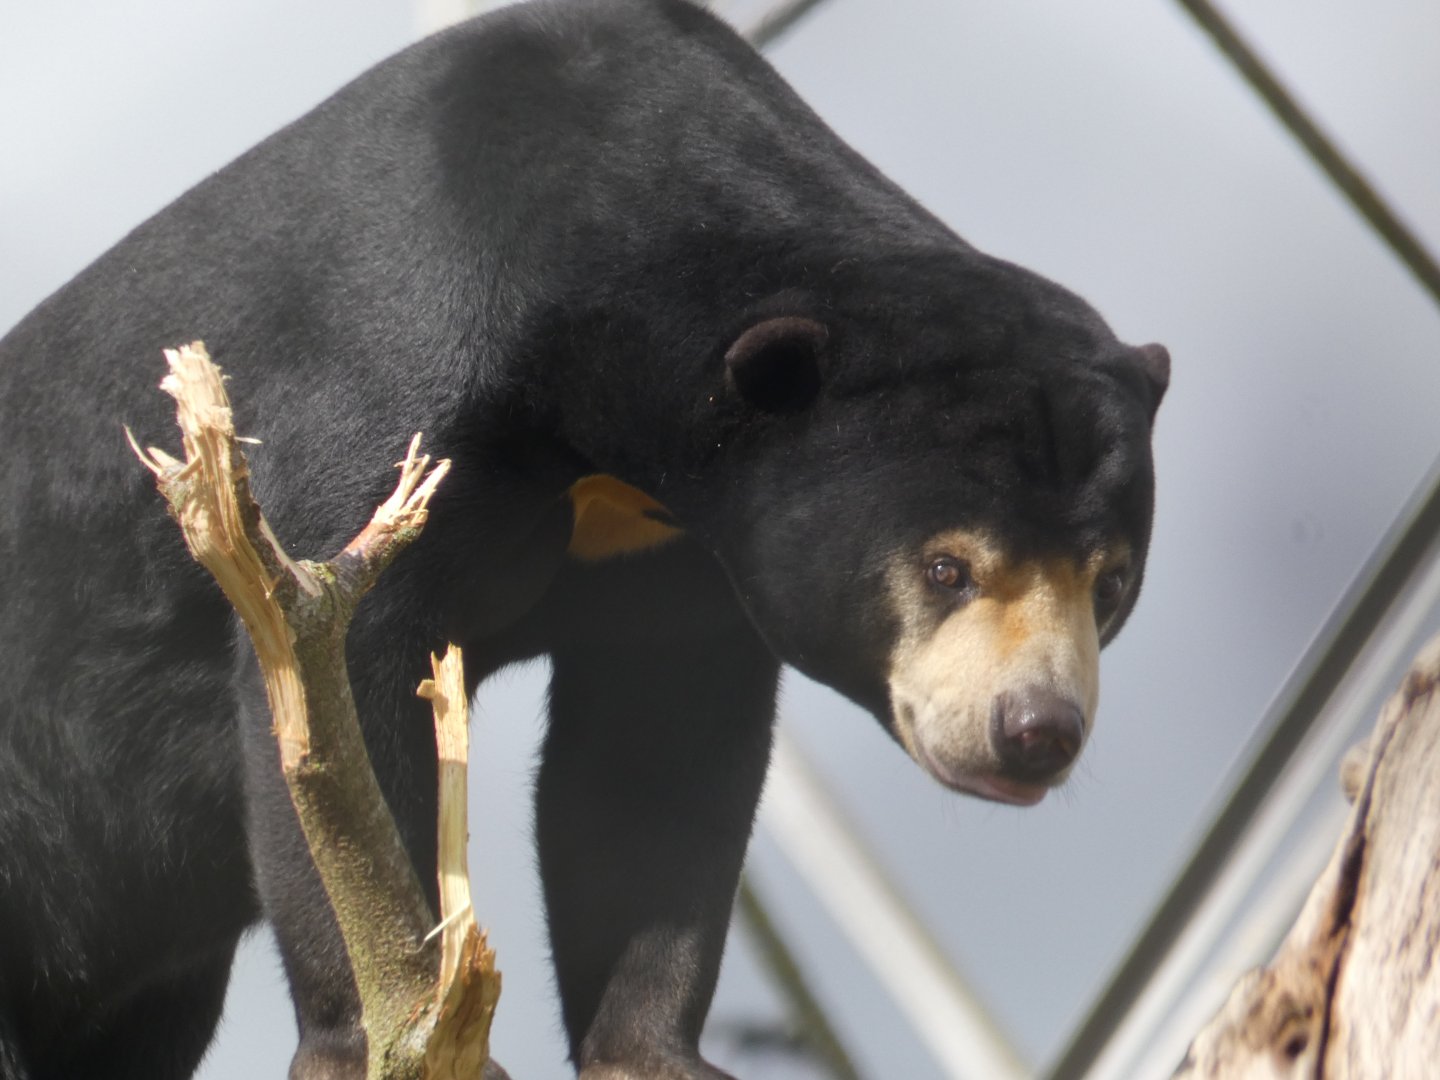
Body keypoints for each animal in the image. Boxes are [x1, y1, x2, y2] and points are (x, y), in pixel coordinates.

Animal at [0, 0, 1168, 1077]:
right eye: (946, 566)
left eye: (1110, 586)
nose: (1037, 730)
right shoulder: (380, 410)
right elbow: (333, 703)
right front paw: (373, 1031)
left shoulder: (675, 552)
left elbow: (652, 768)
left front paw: (651, 1053)